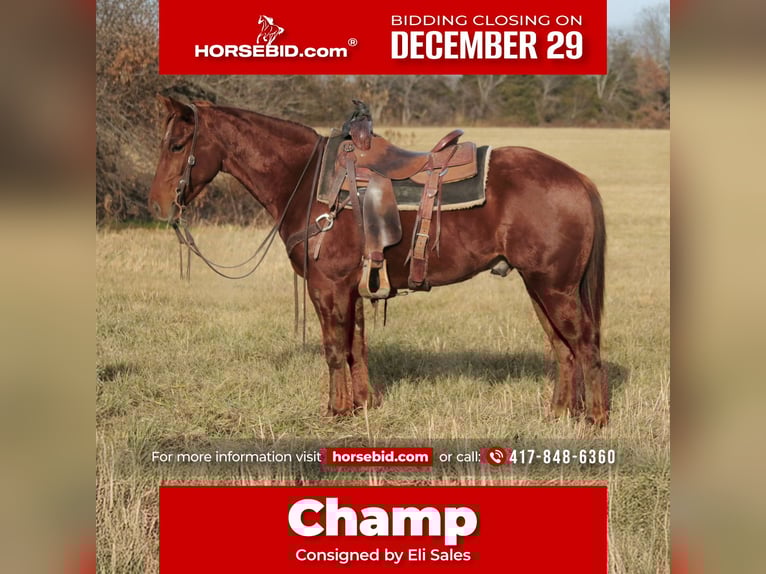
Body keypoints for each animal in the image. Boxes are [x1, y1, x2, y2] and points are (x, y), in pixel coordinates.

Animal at [148, 96, 609, 426]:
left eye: (176, 144)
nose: (156, 205)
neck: (306, 179)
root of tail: (578, 180)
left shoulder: (327, 286)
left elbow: (335, 349)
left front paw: (335, 410)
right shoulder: (351, 288)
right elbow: (357, 346)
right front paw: (362, 404)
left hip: (555, 287)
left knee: (586, 342)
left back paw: (595, 418)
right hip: (539, 286)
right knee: (562, 347)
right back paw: (559, 413)